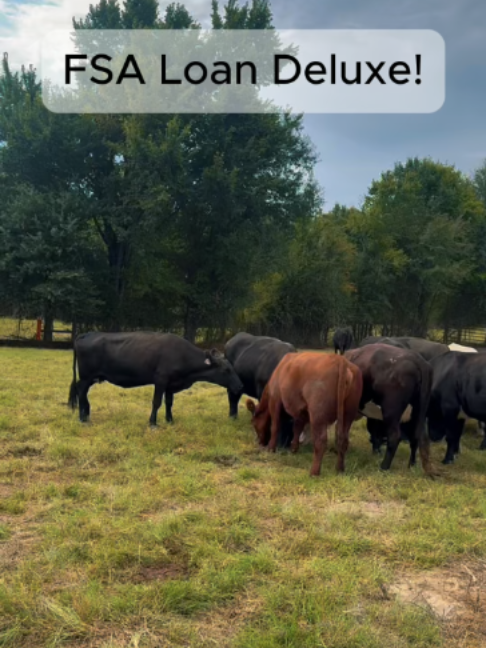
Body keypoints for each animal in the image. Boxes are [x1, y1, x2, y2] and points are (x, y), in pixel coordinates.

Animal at [68, 332, 243, 425]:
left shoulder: (171, 384)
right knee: (81, 391)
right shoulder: (160, 380)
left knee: (80, 391)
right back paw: (82, 417)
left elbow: (169, 403)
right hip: (86, 376)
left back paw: (86, 413)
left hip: (91, 377)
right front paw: (153, 423)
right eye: (226, 370)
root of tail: (87, 334)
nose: (240, 386)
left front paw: (170, 420)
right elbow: (157, 402)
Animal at [345, 343, 434, 475]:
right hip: (419, 412)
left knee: (394, 436)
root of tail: (418, 359)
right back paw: (411, 465)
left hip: (391, 412)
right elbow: (374, 430)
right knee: (417, 435)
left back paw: (384, 467)